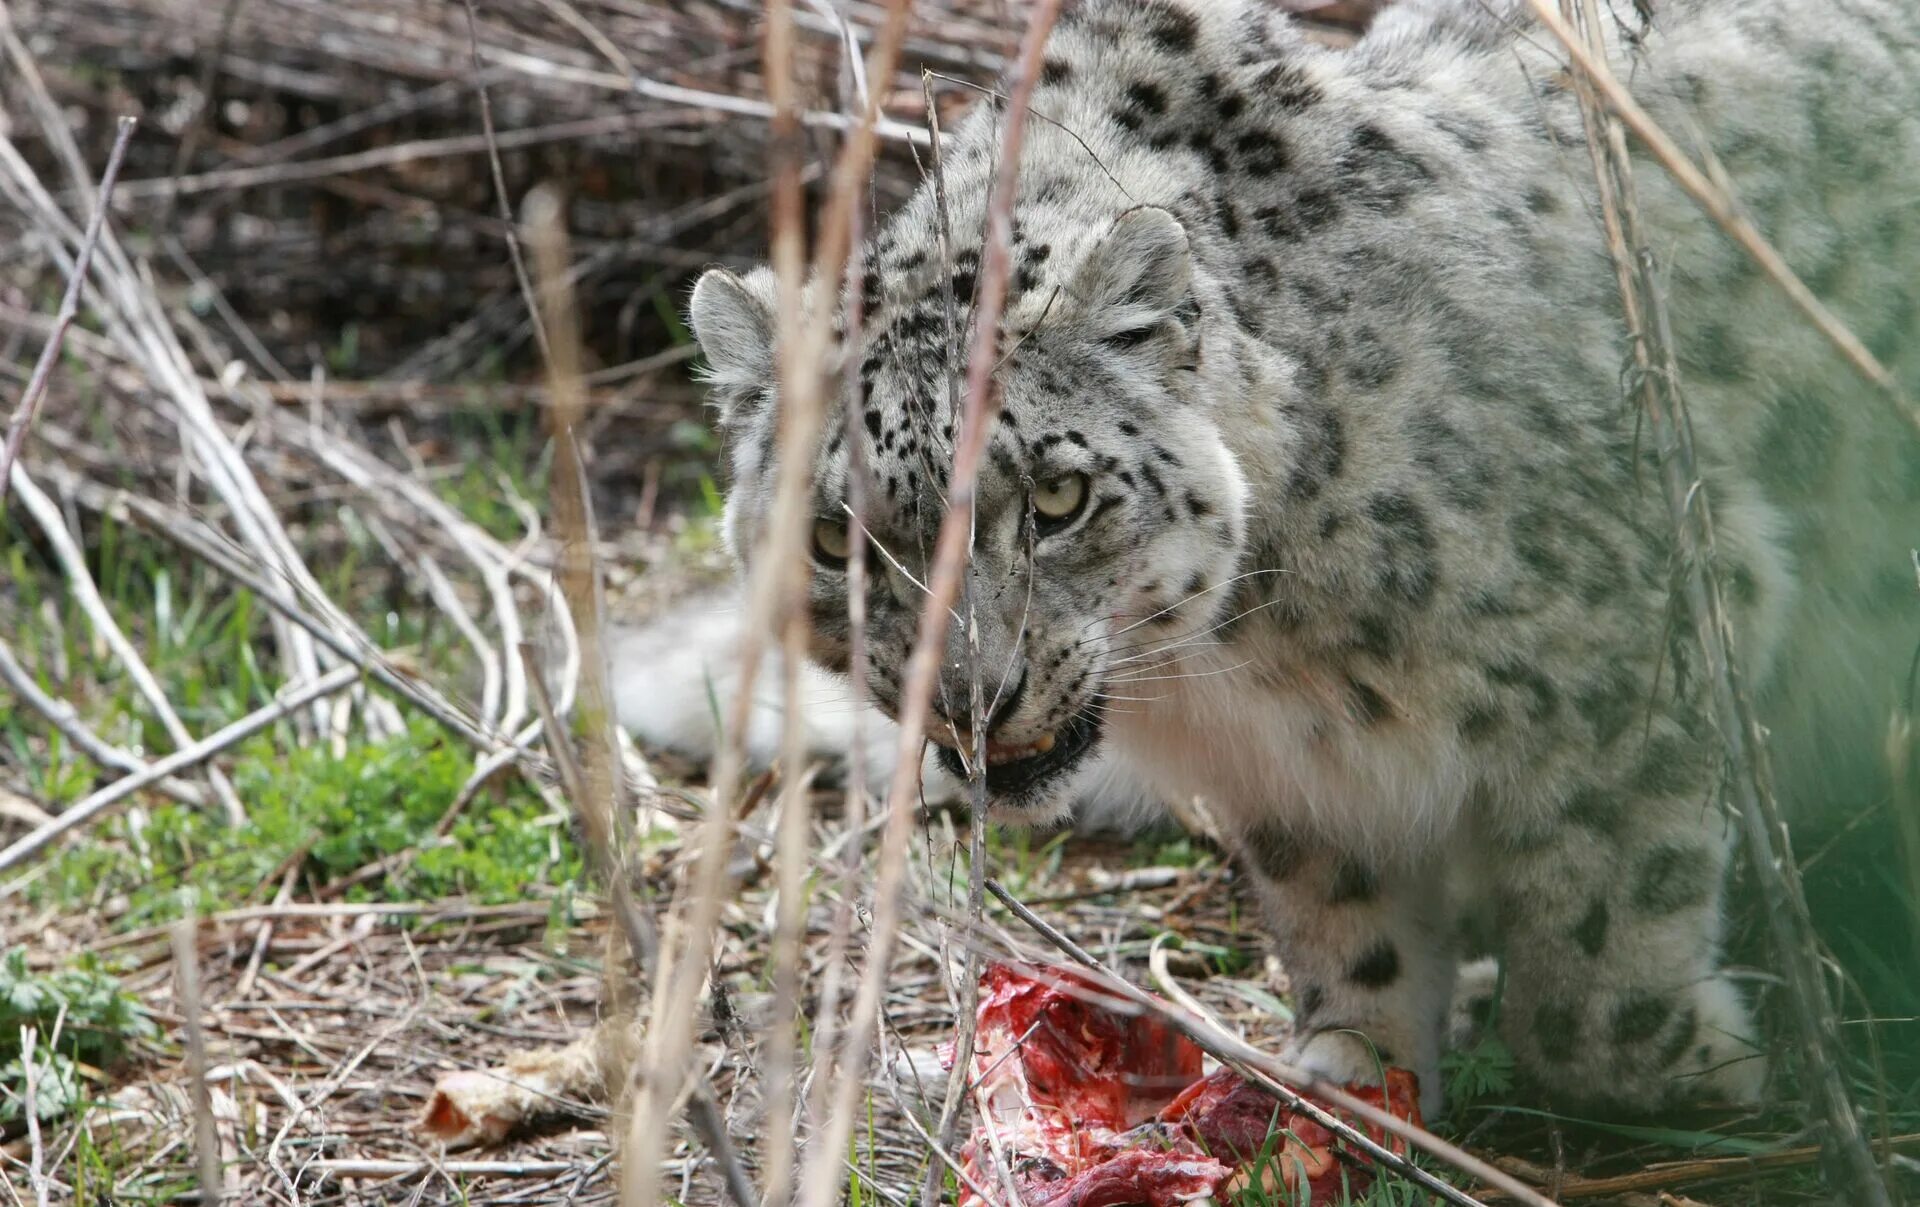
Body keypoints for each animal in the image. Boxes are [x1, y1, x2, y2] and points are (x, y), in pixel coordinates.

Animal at [672, 0, 1920, 1112]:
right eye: (834, 536)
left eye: (1060, 497)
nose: (975, 695)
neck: (1247, 668)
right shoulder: (1293, 780)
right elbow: (1343, 915)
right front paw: (1357, 1064)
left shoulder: (1643, 642)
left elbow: (1599, 928)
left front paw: (1693, 1061)